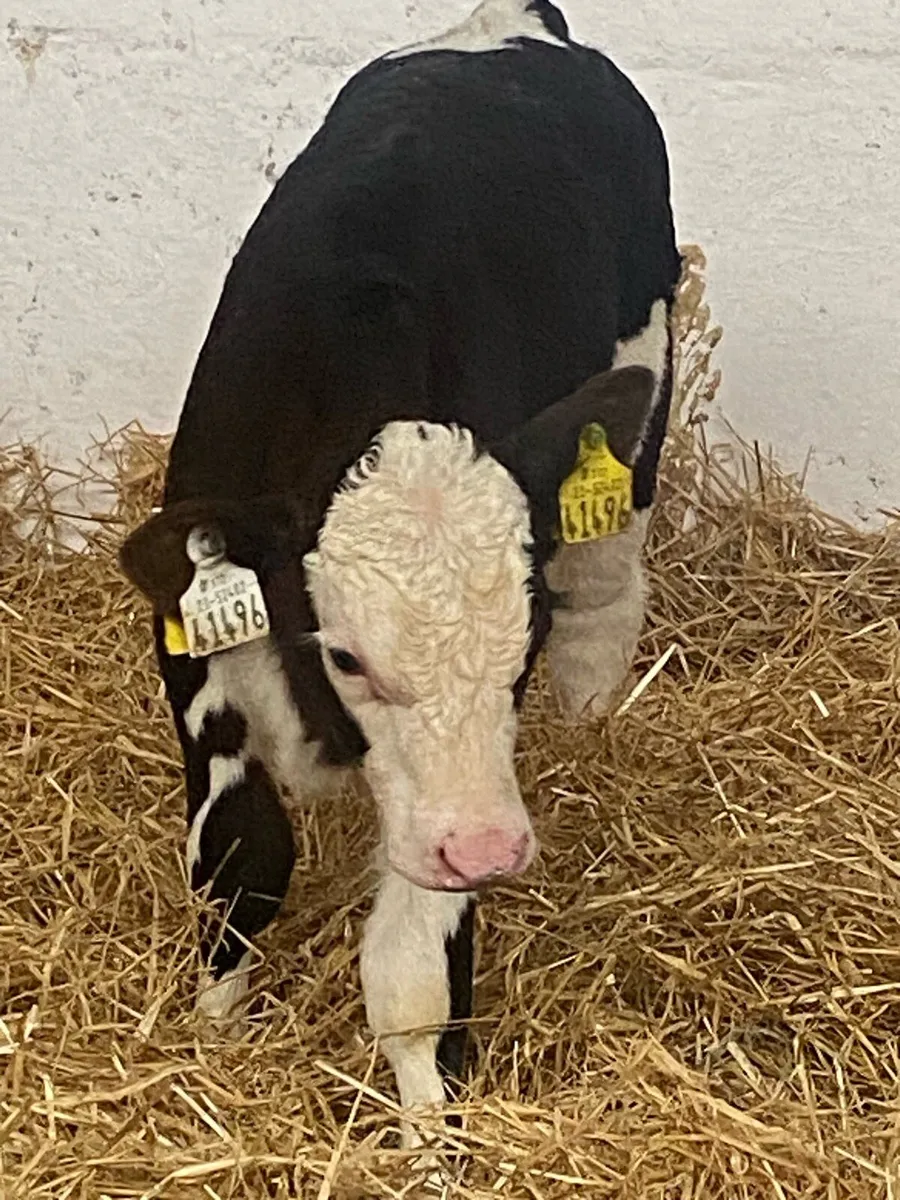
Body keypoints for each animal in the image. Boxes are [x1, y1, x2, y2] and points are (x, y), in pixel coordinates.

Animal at [119, 0, 680, 1147]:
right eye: (348, 656)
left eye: (520, 651)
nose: (493, 850)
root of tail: (516, 26)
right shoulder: (195, 648)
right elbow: (238, 860)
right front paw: (212, 1030)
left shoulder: (449, 803)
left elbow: (415, 972)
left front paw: (430, 1136)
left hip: (640, 383)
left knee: (609, 580)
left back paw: (594, 712)